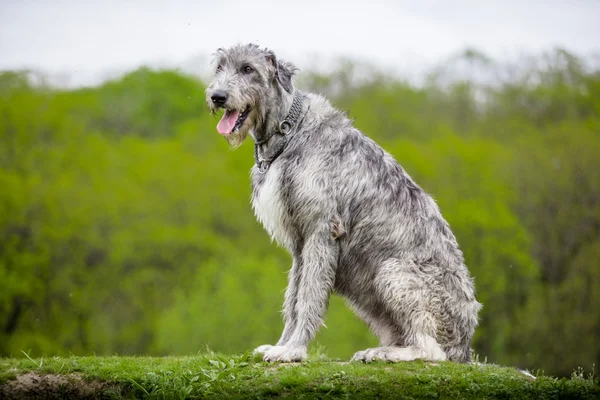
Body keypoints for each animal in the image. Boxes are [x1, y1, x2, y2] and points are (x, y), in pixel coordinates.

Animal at [206, 43, 482, 362]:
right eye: (219, 67)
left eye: (248, 69)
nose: (217, 96)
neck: (290, 131)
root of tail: (465, 345)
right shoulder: (300, 244)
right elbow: (293, 298)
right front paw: (282, 344)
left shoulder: (321, 232)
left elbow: (309, 297)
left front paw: (294, 350)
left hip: (392, 273)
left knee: (431, 350)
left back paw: (385, 353)